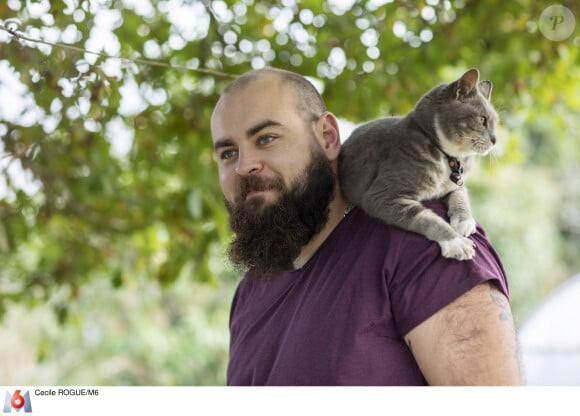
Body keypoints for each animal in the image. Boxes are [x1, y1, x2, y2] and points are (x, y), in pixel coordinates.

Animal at [340, 70, 498, 262]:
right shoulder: (381, 196)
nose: (495, 140)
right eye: (482, 119)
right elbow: (427, 217)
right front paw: (455, 241)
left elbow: (460, 195)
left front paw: (464, 221)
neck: (447, 157)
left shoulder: (456, 184)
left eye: (495, 122)